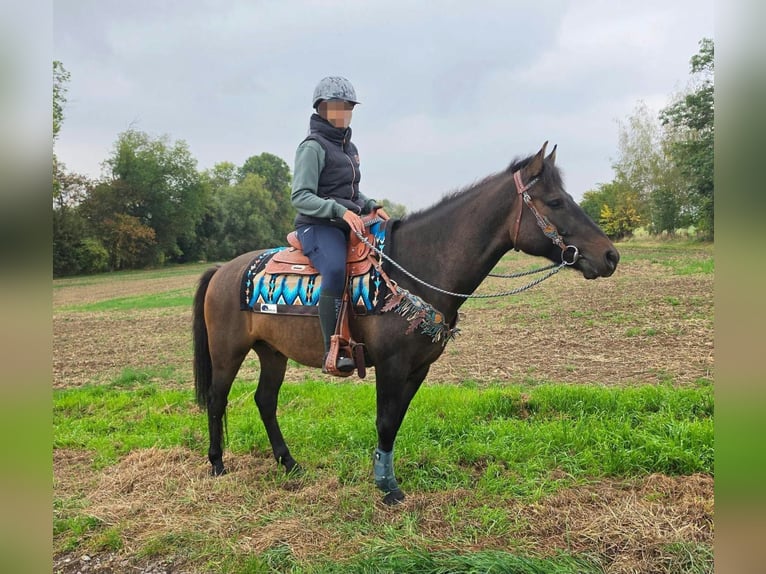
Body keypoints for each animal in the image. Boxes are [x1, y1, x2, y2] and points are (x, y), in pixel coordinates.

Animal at [193, 142, 619, 504]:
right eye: (556, 201)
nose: (611, 256)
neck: (414, 268)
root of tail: (222, 271)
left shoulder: (418, 368)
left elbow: (395, 422)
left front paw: (383, 477)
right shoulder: (392, 365)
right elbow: (384, 421)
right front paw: (388, 490)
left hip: (272, 353)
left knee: (265, 400)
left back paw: (289, 463)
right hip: (228, 352)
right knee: (216, 398)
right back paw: (217, 464)